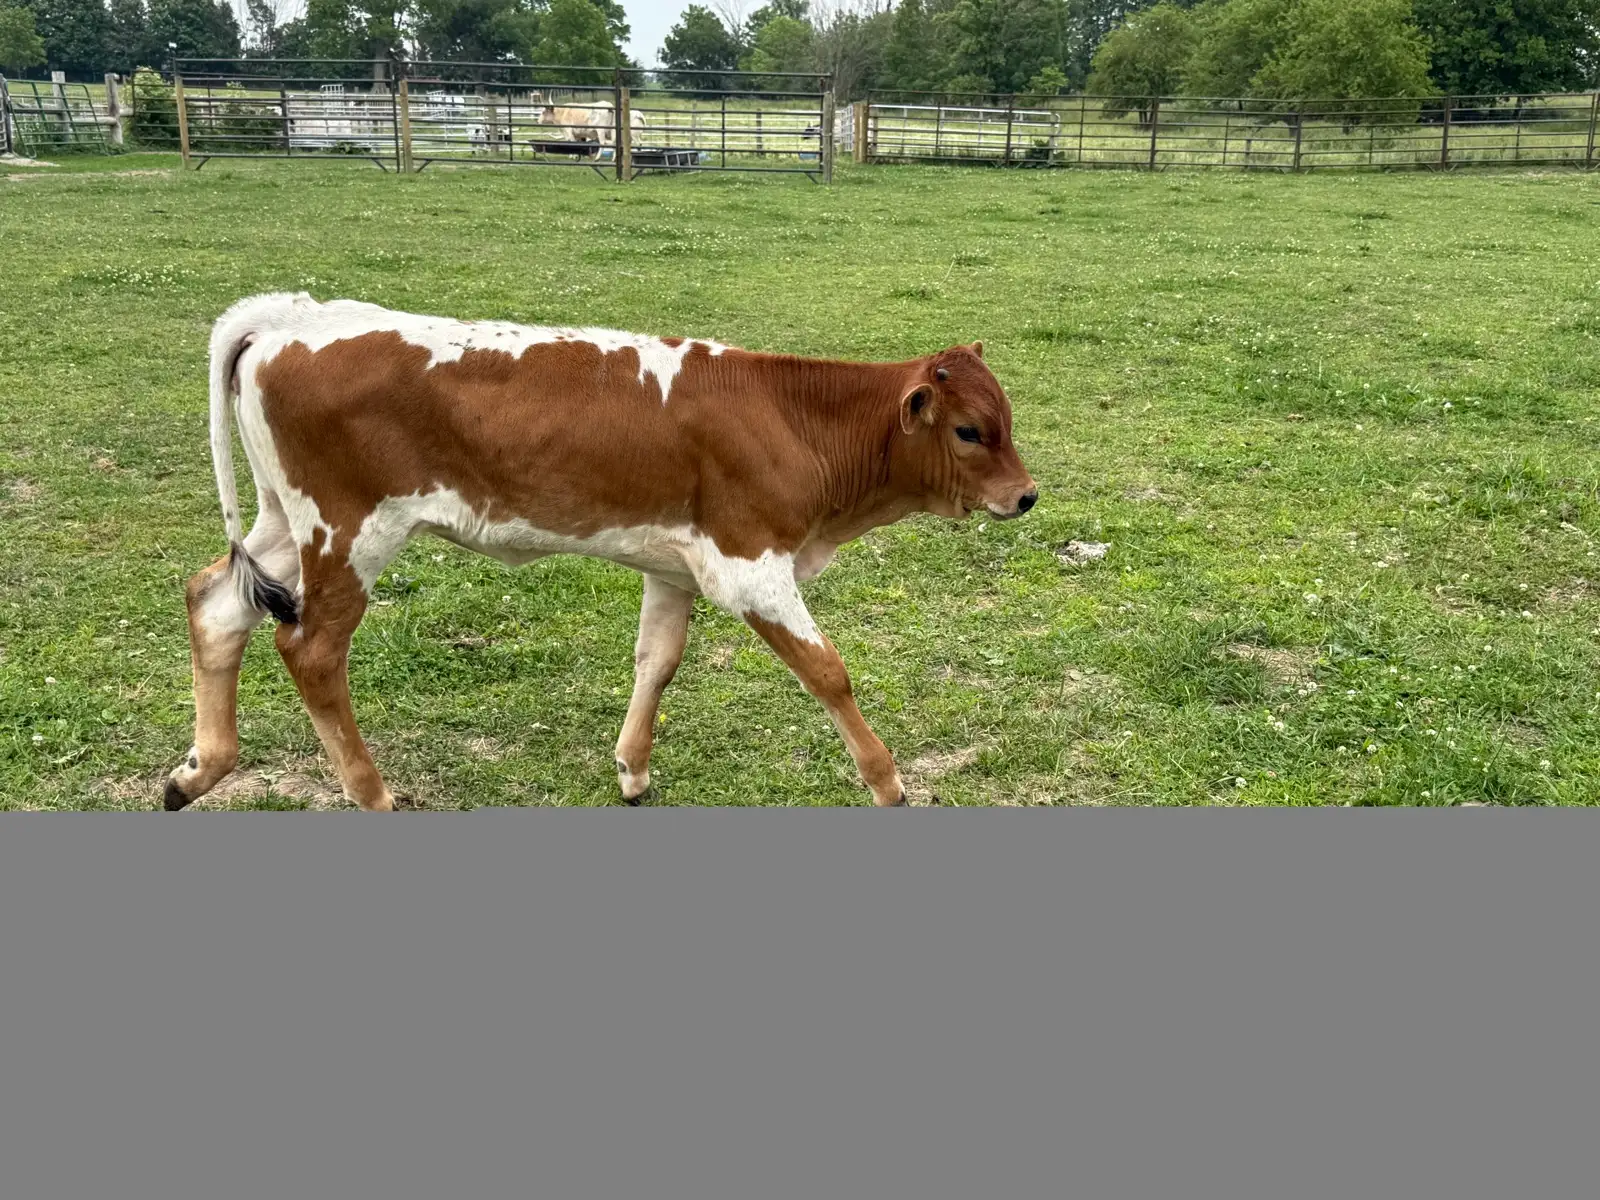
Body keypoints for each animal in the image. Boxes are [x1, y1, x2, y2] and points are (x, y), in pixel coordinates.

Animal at [164, 294, 1037, 812]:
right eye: (969, 431)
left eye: (1007, 420)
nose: (1026, 495)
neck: (790, 416)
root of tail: (290, 315)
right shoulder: (750, 566)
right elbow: (829, 672)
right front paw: (887, 781)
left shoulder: (673, 566)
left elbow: (658, 660)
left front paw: (633, 768)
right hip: (350, 531)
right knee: (310, 649)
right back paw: (371, 793)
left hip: (283, 523)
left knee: (215, 603)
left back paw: (200, 769)